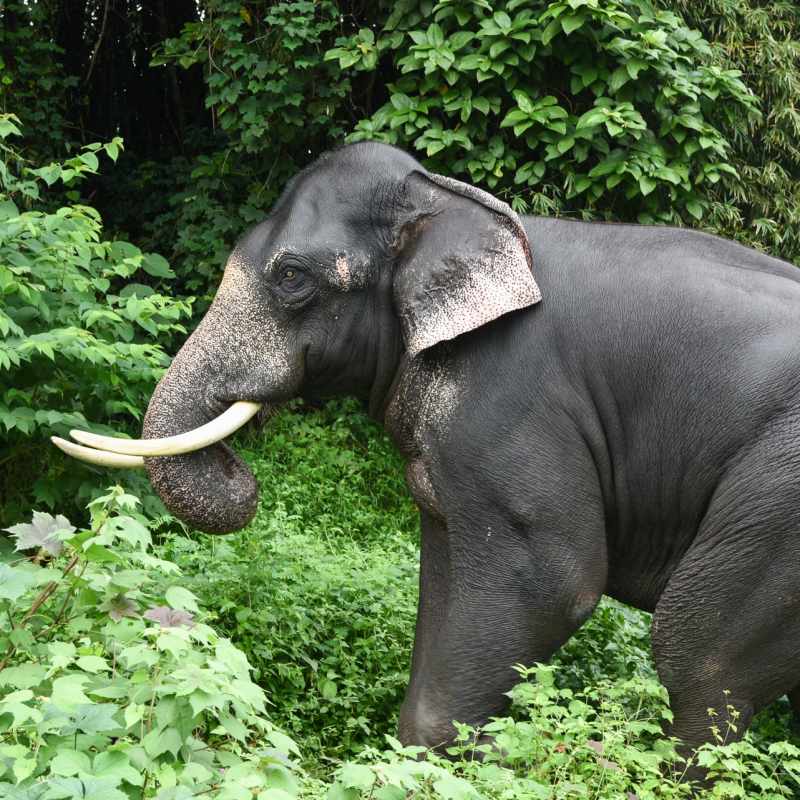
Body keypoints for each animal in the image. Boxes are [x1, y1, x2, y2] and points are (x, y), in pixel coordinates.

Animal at [54, 141, 800, 755]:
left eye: (292, 277)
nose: (246, 467)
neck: (453, 201)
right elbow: (442, 571)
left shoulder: (514, 399)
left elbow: (551, 579)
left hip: (778, 494)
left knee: (696, 656)